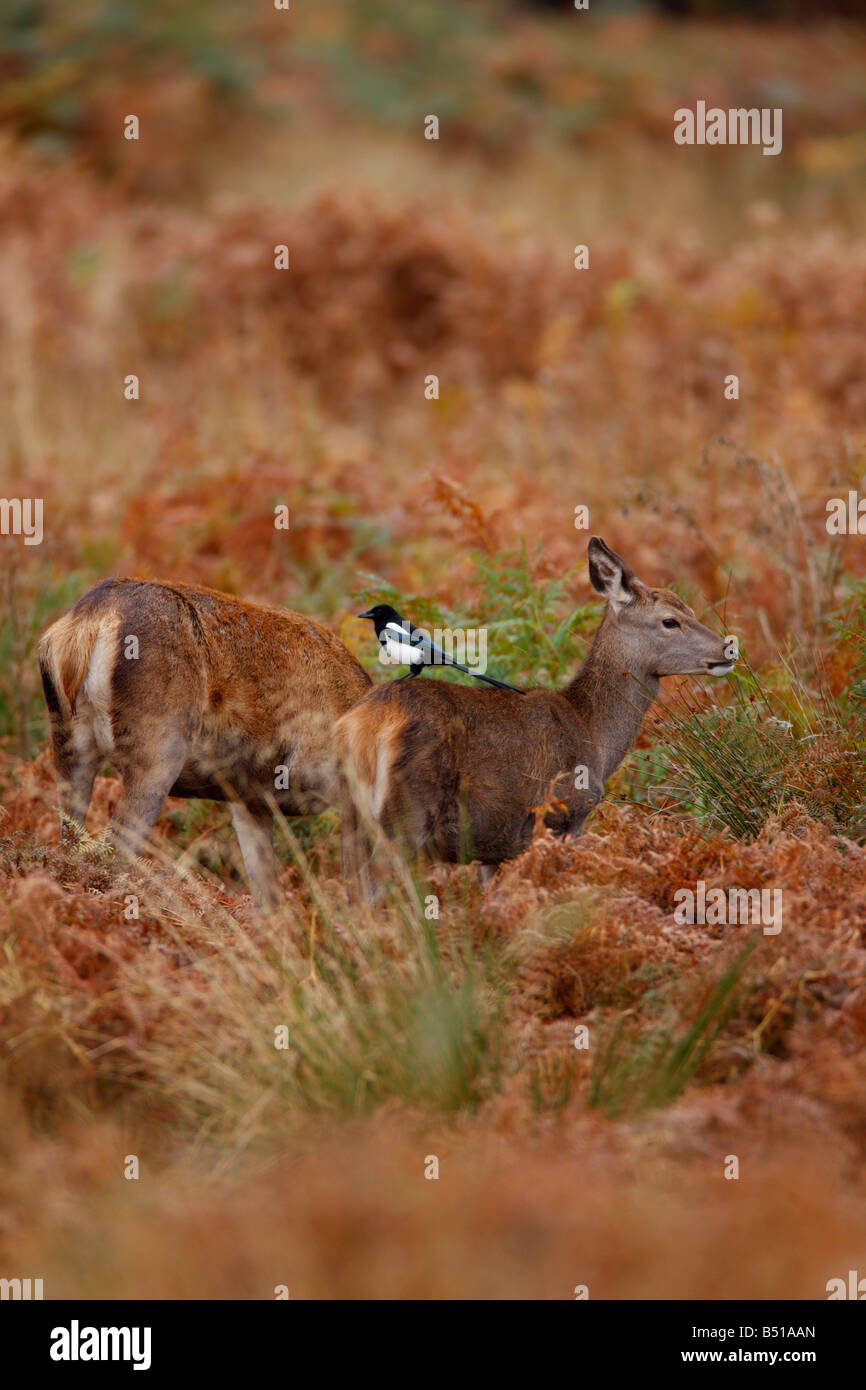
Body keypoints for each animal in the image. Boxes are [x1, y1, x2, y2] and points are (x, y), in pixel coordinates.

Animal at [38, 581, 369, 906]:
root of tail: (88, 621)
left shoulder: (250, 800)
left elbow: (266, 891)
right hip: (158, 751)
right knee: (113, 849)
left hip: (69, 741)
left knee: (70, 840)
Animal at [339, 536, 739, 895]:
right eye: (670, 621)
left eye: (690, 610)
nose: (728, 648)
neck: (594, 734)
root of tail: (367, 723)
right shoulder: (565, 814)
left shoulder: (492, 848)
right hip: (405, 812)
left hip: (353, 815)